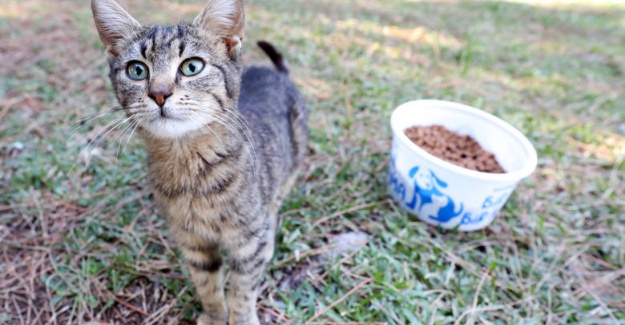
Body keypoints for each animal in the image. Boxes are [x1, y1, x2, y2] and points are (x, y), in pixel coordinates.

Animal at [90, 1, 308, 322]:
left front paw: (242, 318)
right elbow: (207, 284)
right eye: (137, 70)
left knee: (272, 209)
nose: (159, 93)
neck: (190, 169)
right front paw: (215, 316)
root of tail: (278, 74)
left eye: (192, 66)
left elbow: (242, 289)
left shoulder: (246, 242)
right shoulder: (192, 242)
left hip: (287, 172)